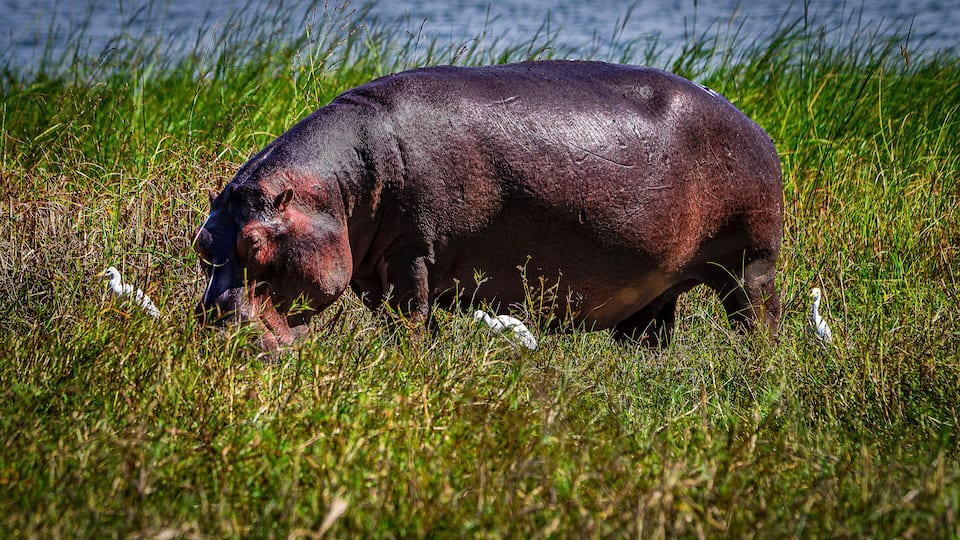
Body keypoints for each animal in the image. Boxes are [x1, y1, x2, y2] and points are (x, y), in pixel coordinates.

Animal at [192, 60, 783, 350]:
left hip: (751, 262)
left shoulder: (413, 254)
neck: (337, 189)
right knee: (651, 336)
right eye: (201, 243)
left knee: (760, 320)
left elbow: (412, 321)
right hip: (656, 287)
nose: (213, 327)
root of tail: (757, 126)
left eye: (255, 243)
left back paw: (758, 370)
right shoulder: (371, 270)